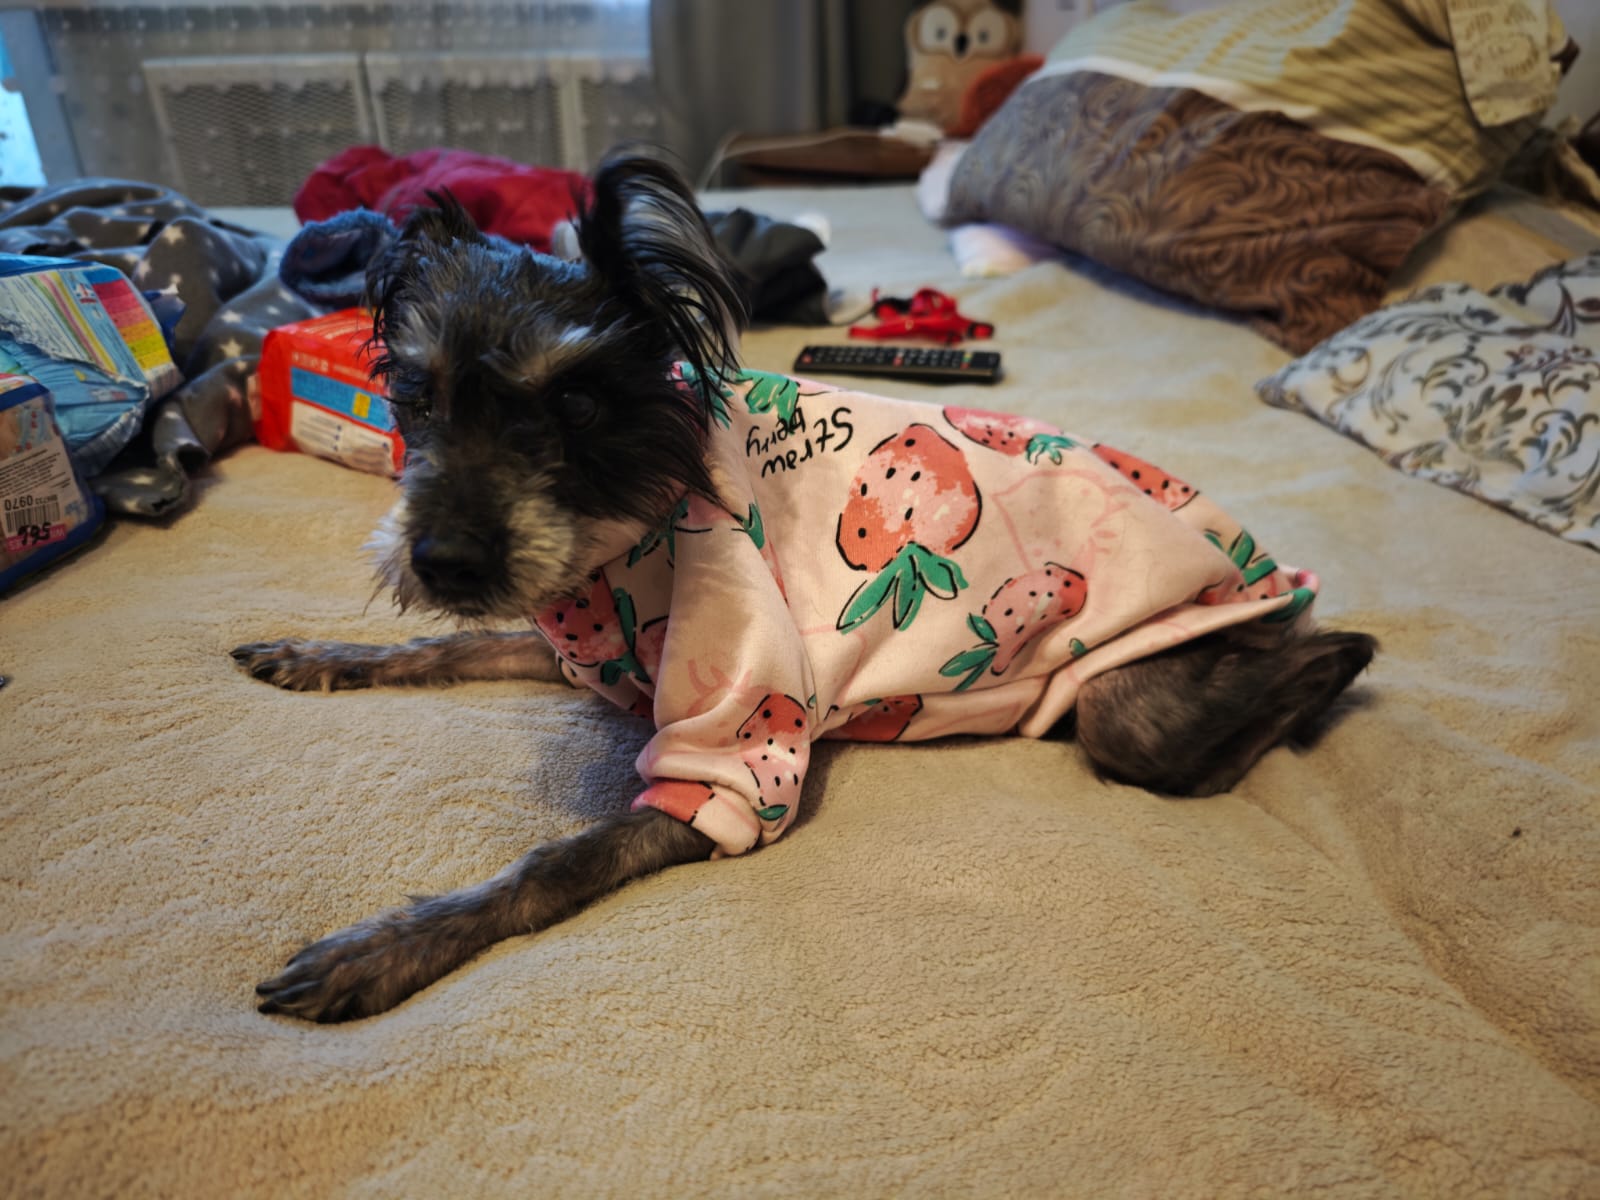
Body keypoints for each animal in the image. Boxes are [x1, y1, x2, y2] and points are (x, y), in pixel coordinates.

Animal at [236, 149, 1375, 1023]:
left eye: (577, 404)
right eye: (414, 396)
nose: (446, 560)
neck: (619, 547)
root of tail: (1257, 557)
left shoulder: (732, 759)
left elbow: (545, 866)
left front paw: (385, 946)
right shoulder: (573, 651)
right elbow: (447, 645)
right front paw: (319, 654)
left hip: (1128, 697)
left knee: (1239, 717)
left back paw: (1345, 653)